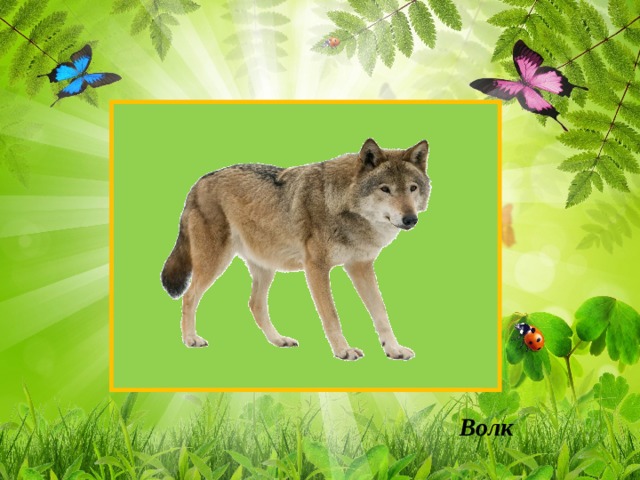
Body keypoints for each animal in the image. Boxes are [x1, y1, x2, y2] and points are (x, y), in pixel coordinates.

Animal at [161, 138, 431, 361]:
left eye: (412, 188)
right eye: (385, 189)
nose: (410, 219)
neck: (342, 205)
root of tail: (198, 182)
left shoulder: (360, 266)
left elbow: (381, 313)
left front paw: (393, 349)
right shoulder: (316, 267)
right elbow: (331, 315)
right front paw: (343, 351)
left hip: (265, 267)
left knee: (255, 304)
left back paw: (278, 340)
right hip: (215, 262)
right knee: (189, 296)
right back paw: (190, 339)